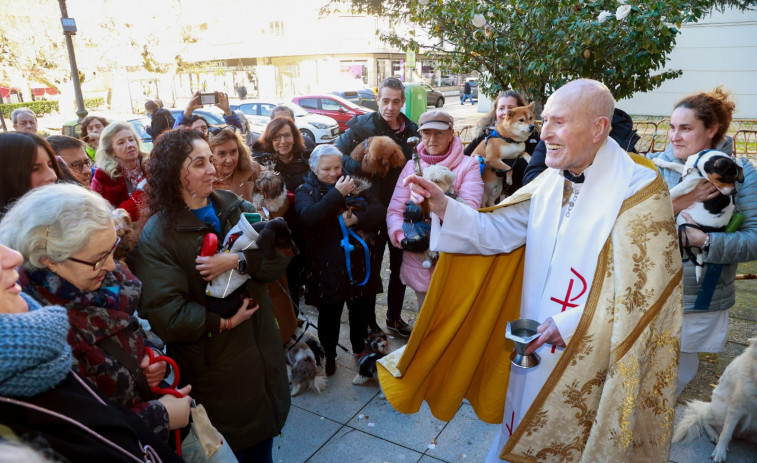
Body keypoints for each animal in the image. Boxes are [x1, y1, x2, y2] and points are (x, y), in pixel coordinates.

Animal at [652, 151, 740, 282]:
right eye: (729, 178)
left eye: (735, 179)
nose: (734, 192)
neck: (698, 166)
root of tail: (706, 230)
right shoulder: (686, 172)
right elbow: (674, 164)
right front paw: (659, 161)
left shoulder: (685, 185)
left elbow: (671, 192)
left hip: (683, 218)